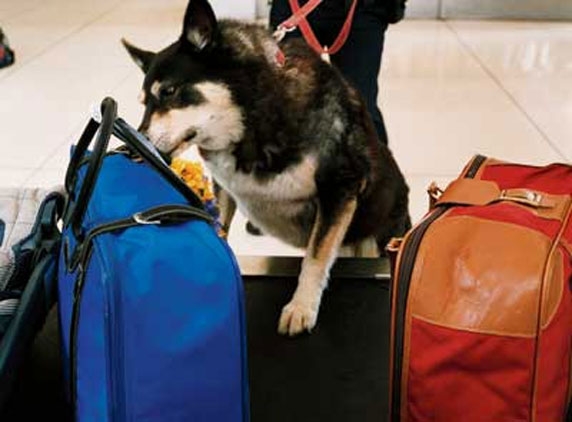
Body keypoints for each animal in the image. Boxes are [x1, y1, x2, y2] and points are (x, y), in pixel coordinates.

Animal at [124, 0, 412, 336]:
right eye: (144, 102)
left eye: (168, 92)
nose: (132, 144)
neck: (256, 115)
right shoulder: (224, 189)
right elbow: (218, 230)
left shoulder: (340, 188)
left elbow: (315, 258)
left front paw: (301, 307)